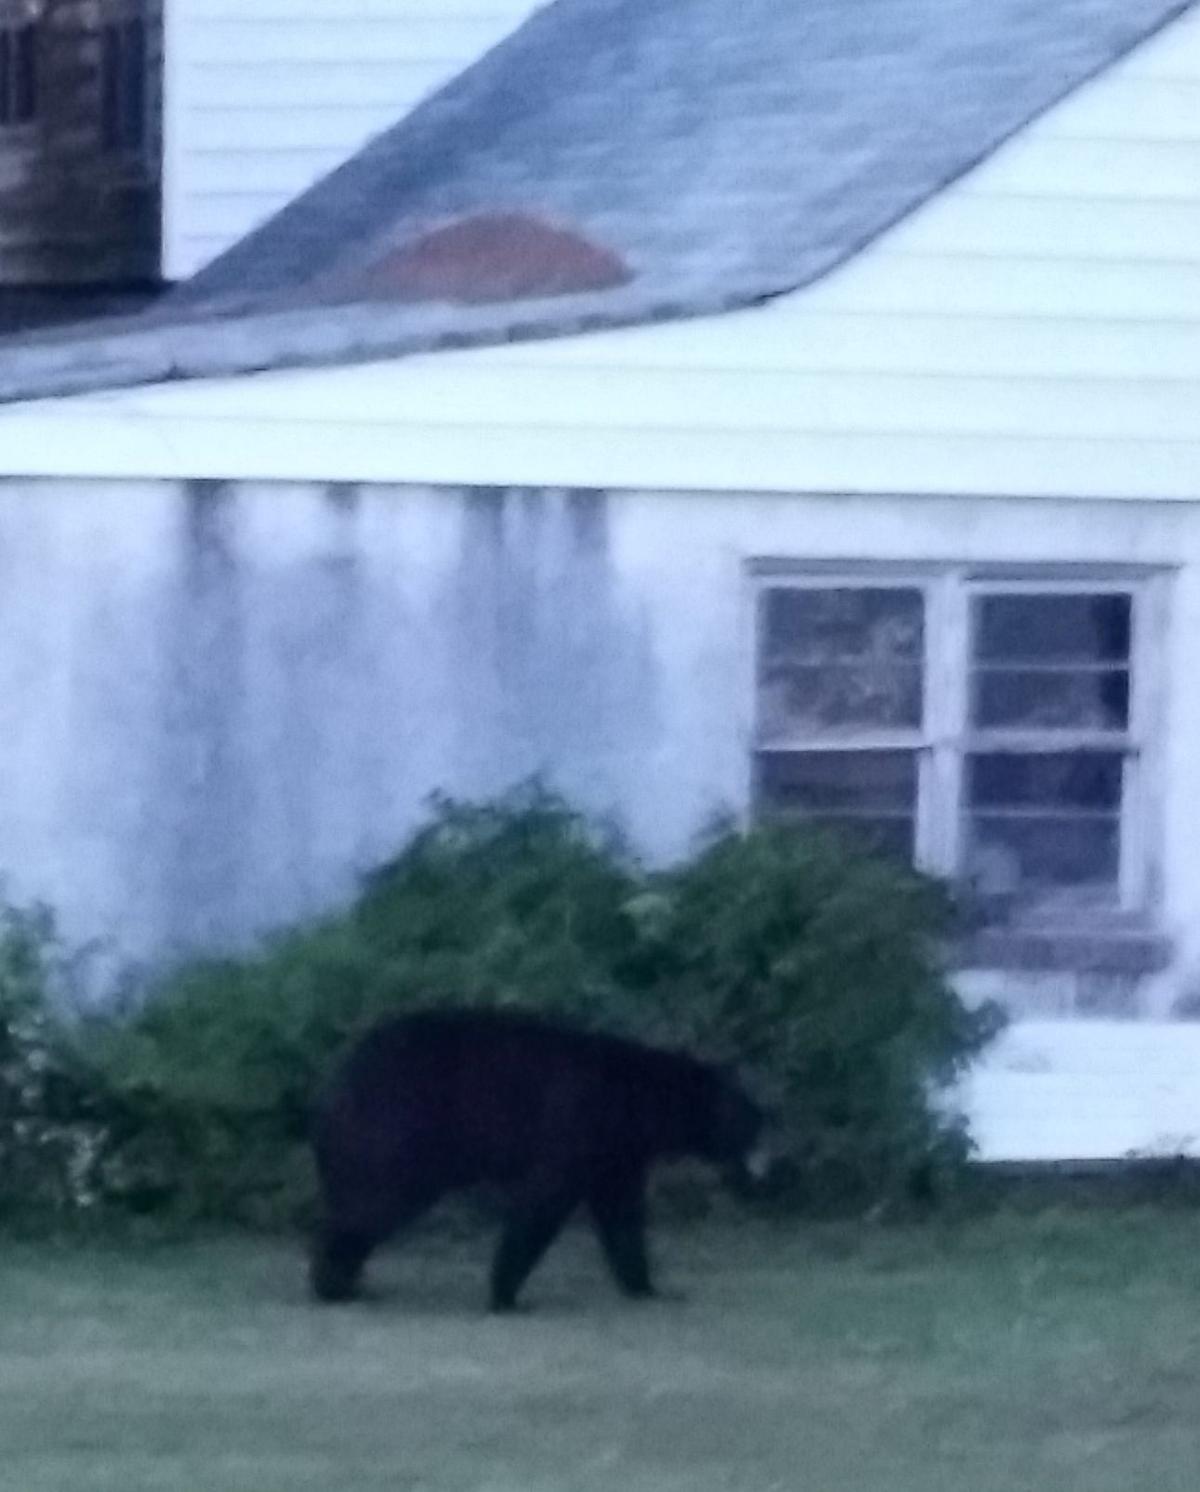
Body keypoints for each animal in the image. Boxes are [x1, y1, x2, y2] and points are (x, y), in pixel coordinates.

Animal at [308, 1006, 769, 1311]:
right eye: (751, 1116)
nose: (771, 1148)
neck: (636, 1102)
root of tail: (335, 1083)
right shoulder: (576, 1125)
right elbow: (542, 1204)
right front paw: (505, 1296)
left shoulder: (616, 1154)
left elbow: (621, 1216)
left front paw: (648, 1287)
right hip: (398, 1130)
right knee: (372, 1204)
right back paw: (333, 1282)